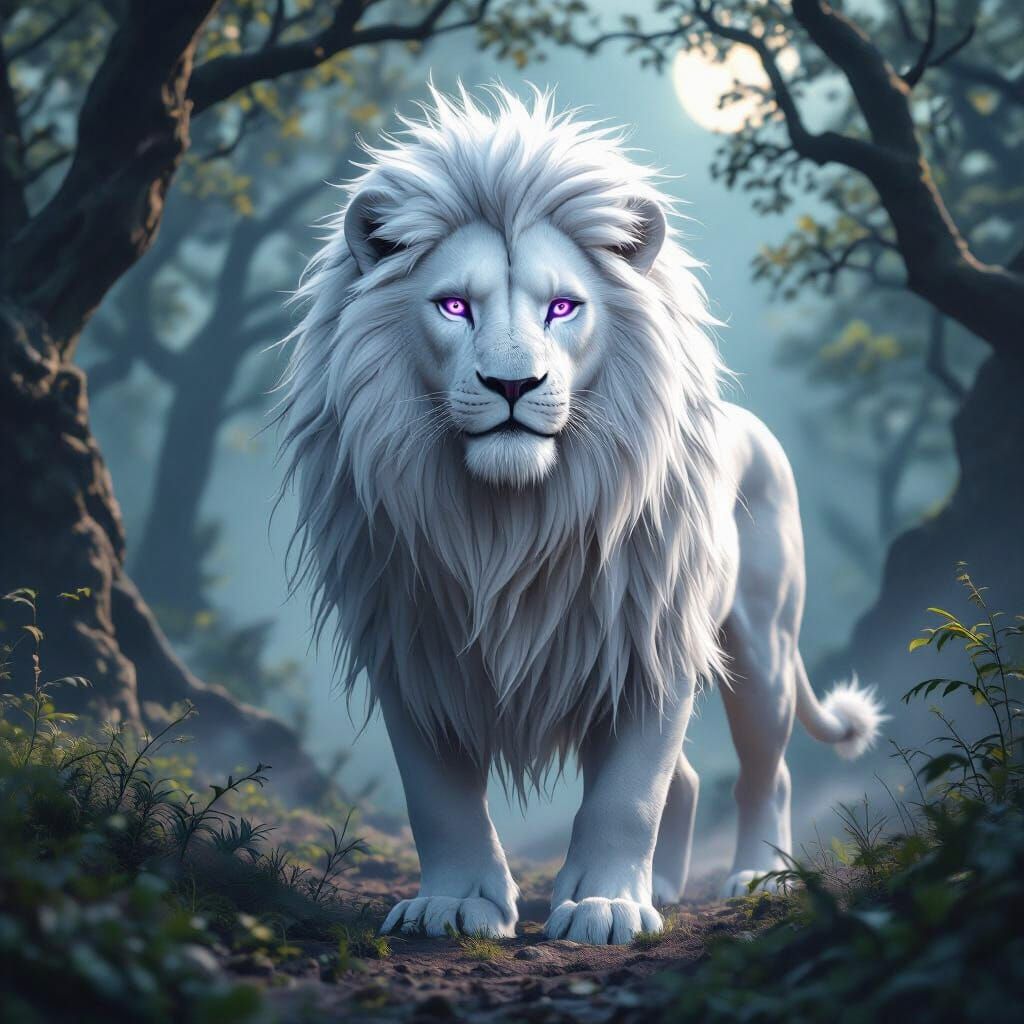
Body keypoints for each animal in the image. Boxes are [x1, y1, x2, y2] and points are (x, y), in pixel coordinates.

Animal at [276, 85, 885, 945]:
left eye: (563, 307)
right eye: (454, 306)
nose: (512, 384)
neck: (507, 524)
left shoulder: (650, 634)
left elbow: (629, 791)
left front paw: (604, 907)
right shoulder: (411, 641)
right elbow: (438, 795)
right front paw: (454, 906)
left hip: (763, 646)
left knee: (768, 769)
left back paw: (758, 876)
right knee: (688, 779)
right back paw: (662, 884)